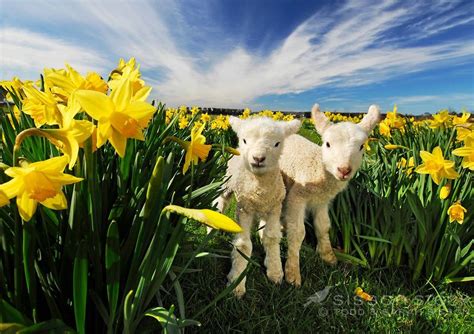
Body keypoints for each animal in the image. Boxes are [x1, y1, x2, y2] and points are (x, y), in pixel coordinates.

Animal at [218, 116, 300, 296]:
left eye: (277, 143)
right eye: (245, 140)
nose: (258, 158)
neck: (259, 191)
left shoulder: (275, 207)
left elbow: (272, 237)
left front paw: (275, 271)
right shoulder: (244, 209)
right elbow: (243, 244)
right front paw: (237, 282)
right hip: (226, 183)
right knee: (220, 202)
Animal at [282, 103, 378, 286]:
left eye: (361, 146)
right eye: (327, 144)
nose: (344, 170)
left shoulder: (322, 201)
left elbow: (323, 226)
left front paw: (328, 256)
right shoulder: (297, 196)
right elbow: (298, 232)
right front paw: (292, 273)